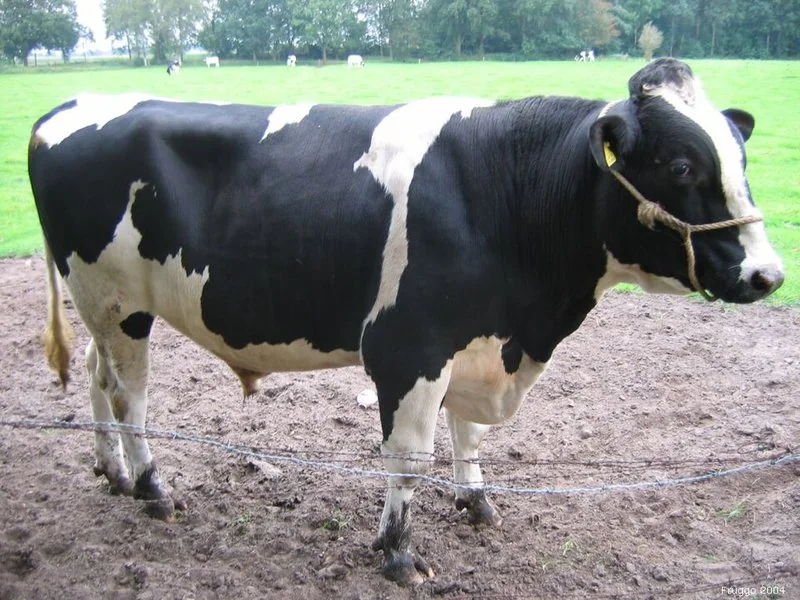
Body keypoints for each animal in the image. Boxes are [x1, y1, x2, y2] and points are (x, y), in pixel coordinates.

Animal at [28, 59, 783, 585]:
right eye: (681, 165)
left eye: (742, 160)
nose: (768, 275)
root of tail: (68, 105)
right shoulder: (407, 346)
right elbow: (410, 458)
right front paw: (397, 554)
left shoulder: (479, 341)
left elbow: (469, 435)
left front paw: (476, 503)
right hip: (114, 299)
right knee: (130, 394)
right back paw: (154, 488)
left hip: (106, 307)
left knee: (97, 378)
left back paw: (113, 473)